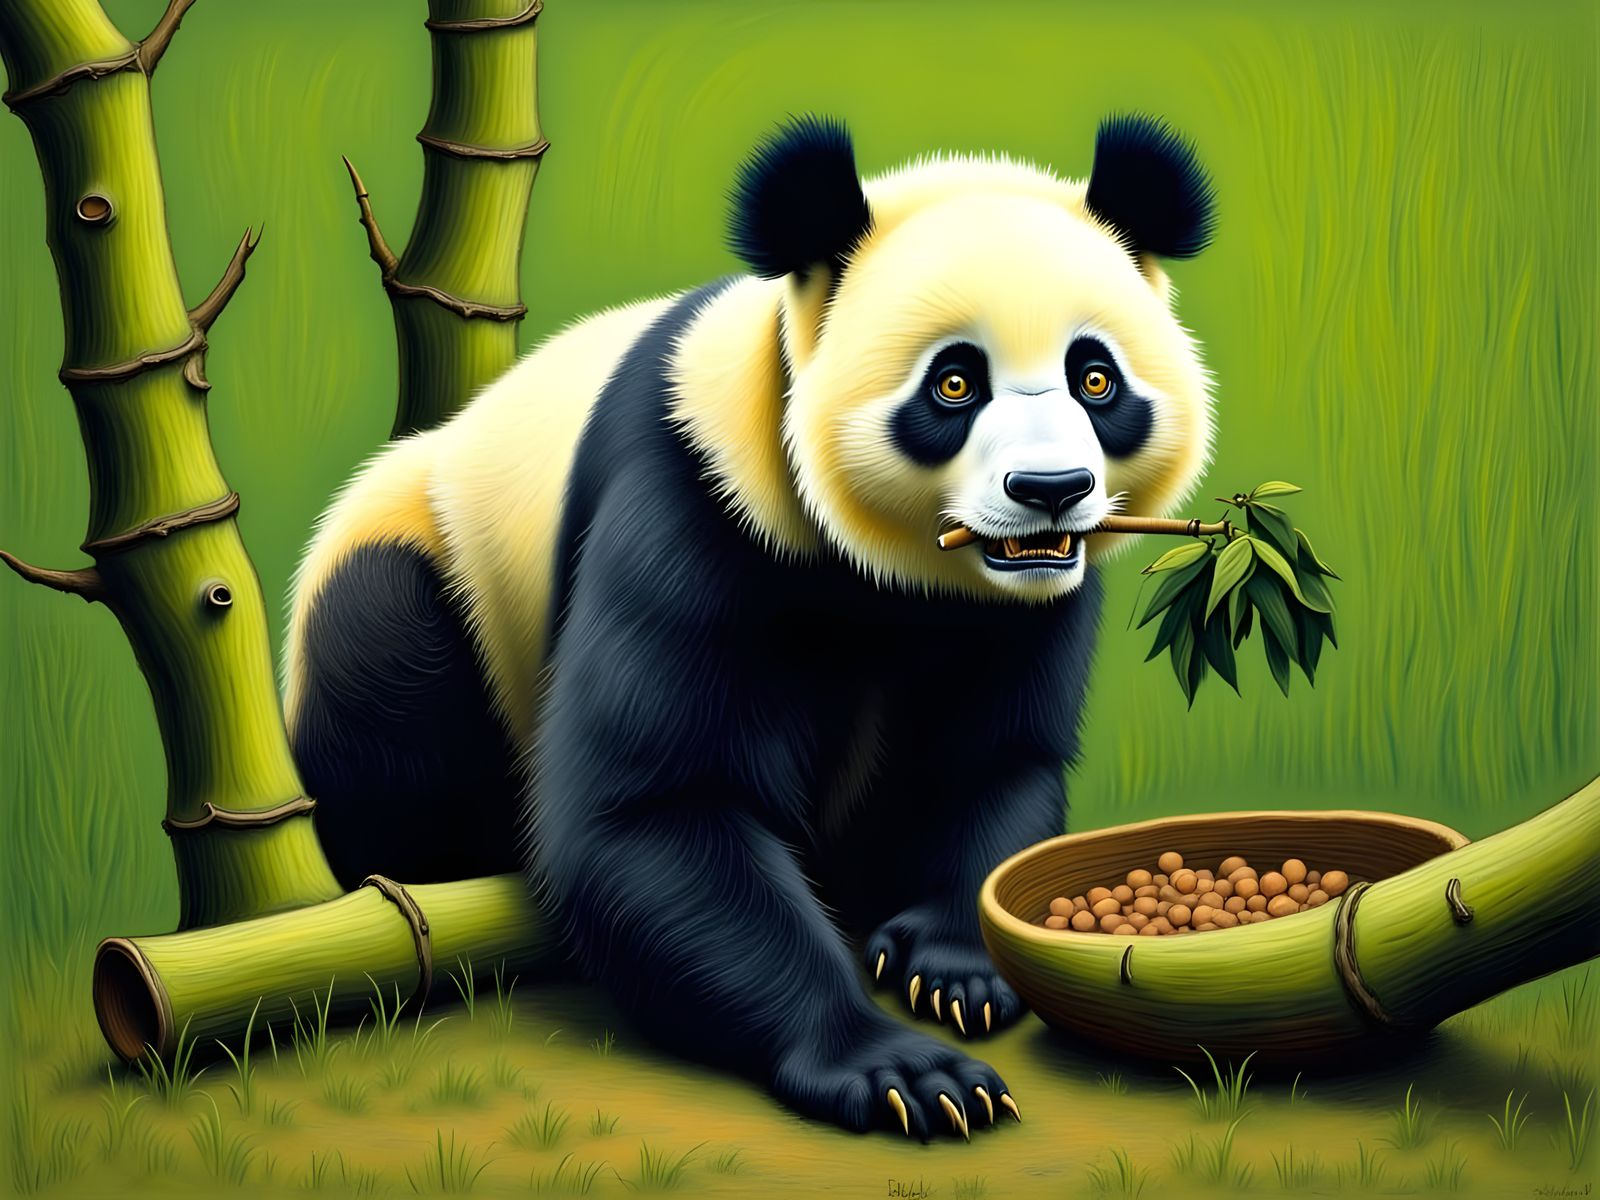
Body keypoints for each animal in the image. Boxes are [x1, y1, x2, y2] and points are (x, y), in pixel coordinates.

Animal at [284, 113, 1215, 1140]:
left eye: (1095, 377)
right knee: (390, 684)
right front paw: (898, 1069)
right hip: (424, 578)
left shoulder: (1013, 606)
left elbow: (991, 763)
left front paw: (953, 968)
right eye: (953, 384)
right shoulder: (698, 501)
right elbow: (657, 807)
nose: (1050, 492)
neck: (893, 570)